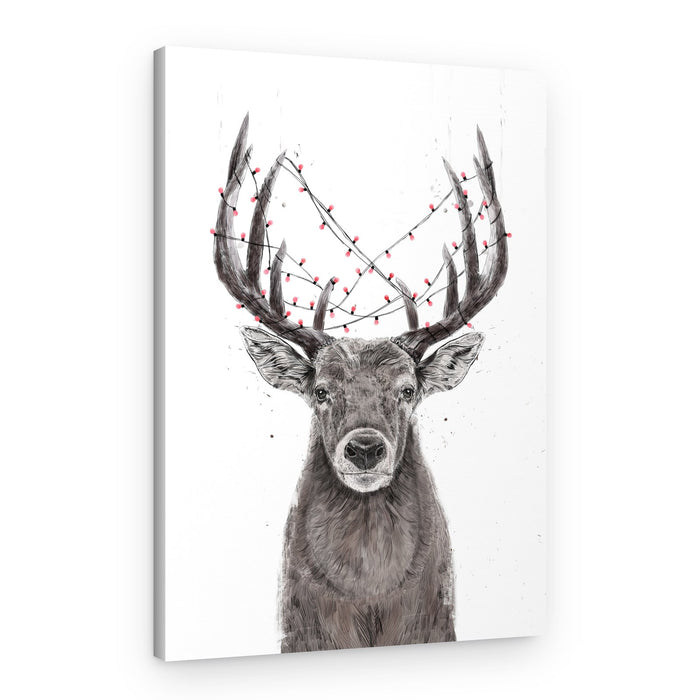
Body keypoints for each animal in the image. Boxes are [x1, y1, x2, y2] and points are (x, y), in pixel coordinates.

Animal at [213, 114, 508, 652]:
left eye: (408, 390)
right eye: (321, 391)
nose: (366, 449)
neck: (369, 603)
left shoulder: (437, 621)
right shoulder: (298, 633)